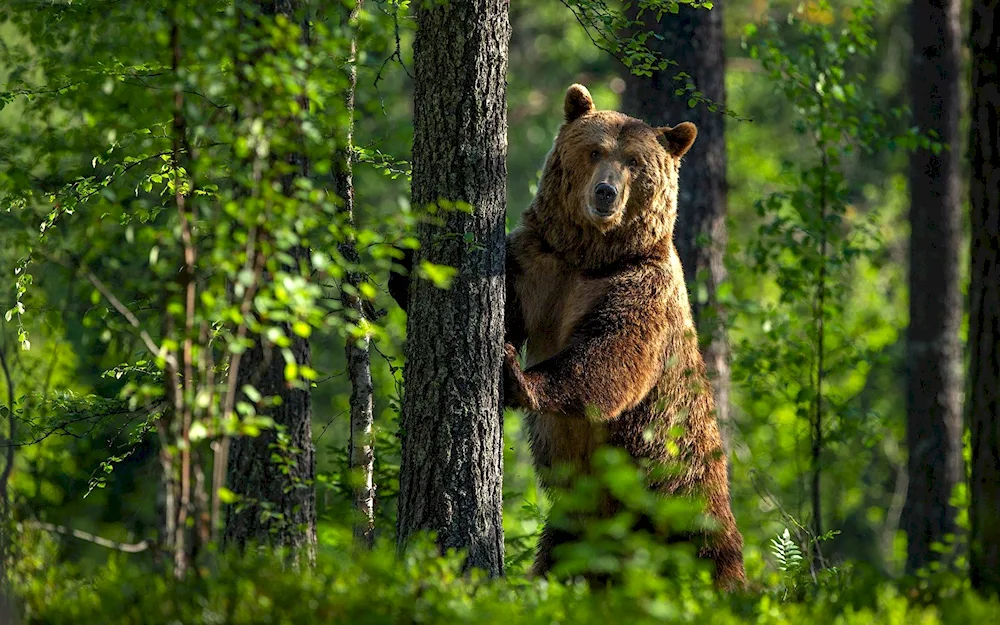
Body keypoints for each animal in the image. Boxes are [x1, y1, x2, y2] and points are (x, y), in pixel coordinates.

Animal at [500, 83, 744, 584]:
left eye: (634, 162)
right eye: (595, 150)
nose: (606, 192)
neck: (592, 256)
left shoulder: (642, 287)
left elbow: (613, 356)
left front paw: (519, 377)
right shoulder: (541, 262)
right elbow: (509, 296)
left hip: (679, 493)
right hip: (577, 525)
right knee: (558, 561)